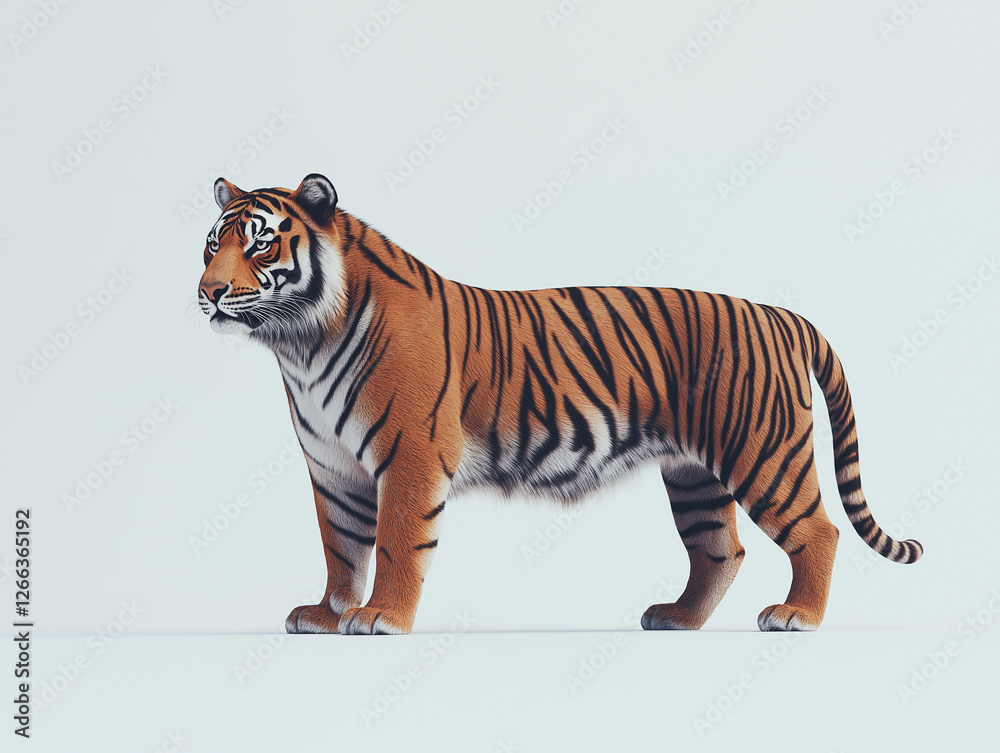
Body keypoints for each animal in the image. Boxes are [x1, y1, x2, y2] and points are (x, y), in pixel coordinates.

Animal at [197, 173, 923, 635]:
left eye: (260, 242)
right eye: (212, 243)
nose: (208, 292)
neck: (300, 342)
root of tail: (778, 313)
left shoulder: (408, 456)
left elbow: (399, 542)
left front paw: (381, 617)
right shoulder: (333, 467)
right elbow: (342, 547)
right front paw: (327, 614)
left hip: (763, 451)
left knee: (818, 531)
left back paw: (798, 616)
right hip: (695, 474)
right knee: (720, 550)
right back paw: (676, 619)